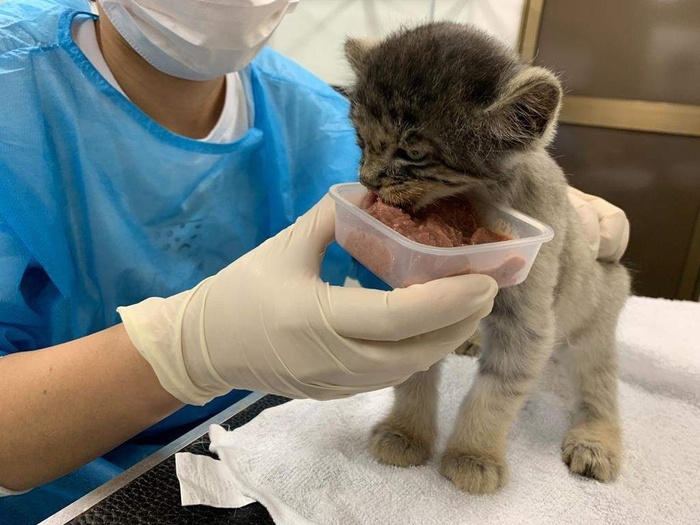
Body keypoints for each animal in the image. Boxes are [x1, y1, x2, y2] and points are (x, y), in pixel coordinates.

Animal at [344, 22, 631, 494]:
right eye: (361, 139)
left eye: (412, 153)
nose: (367, 180)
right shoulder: (419, 309)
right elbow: (415, 376)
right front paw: (406, 433)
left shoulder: (529, 324)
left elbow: (495, 394)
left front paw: (472, 456)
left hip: (596, 325)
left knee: (601, 389)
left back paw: (596, 441)